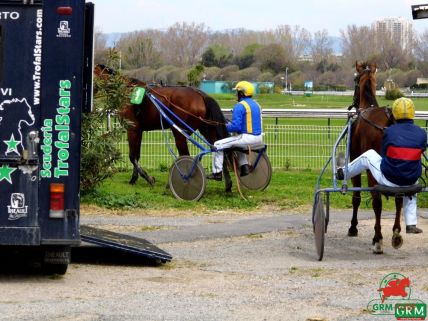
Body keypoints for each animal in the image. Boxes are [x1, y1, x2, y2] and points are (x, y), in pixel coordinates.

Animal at [94, 64, 234, 191]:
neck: (126, 91)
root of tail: (201, 95)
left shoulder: (132, 129)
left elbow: (132, 156)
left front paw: (149, 178)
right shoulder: (139, 130)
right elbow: (137, 156)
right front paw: (133, 179)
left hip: (180, 131)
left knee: (185, 155)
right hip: (207, 129)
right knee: (218, 148)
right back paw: (225, 182)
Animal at [348, 61, 402, 254]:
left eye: (355, 79)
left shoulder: (356, 161)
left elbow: (356, 197)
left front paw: (353, 227)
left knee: (377, 202)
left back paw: (378, 238)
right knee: (399, 199)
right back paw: (396, 234)